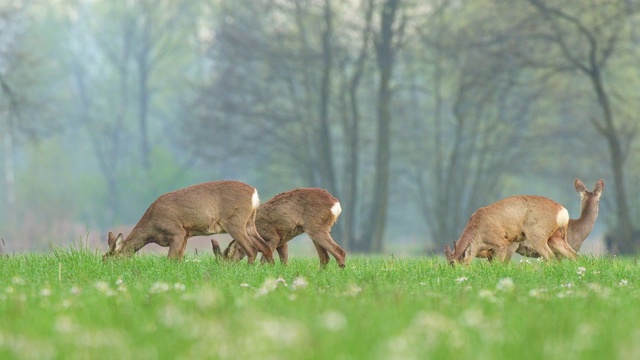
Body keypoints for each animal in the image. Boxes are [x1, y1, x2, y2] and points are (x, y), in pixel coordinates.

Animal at [104, 180, 274, 264]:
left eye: (108, 258)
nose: (105, 268)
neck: (151, 227)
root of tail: (254, 193)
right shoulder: (186, 234)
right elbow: (179, 258)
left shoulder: (176, 231)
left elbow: (171, 259)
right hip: (249, 223)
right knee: (265, 247)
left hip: (235, 222)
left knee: (252, 249)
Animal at [215, 188, 348, 268]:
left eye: (227, 257)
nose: (227, 268)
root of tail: (336, 204)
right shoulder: (282, 242)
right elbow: (284, 262)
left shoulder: (273, 236)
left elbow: (264, 257)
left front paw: (260, 270)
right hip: (315, 230)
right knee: (325, 258)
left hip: (316, 228)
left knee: (339, 252)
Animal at [442, 194, 576, 268]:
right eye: (450, 264)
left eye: (460, 263)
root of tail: (561, 210)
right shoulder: (491, 253)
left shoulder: (502, 245)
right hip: (555, 238)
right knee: (573, 255)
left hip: (537, 237)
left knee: (550, 256)